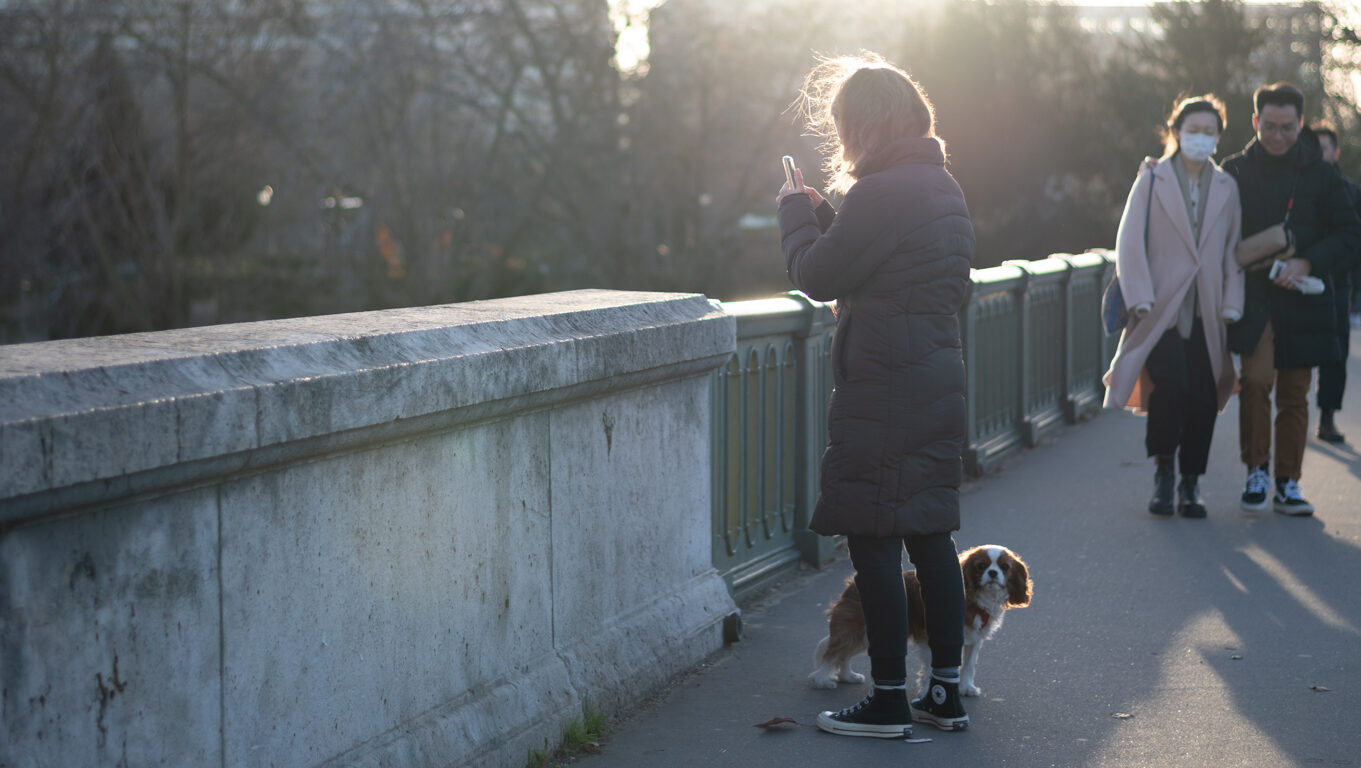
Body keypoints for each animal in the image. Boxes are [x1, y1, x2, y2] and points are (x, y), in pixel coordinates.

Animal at [805, 541, 1028, 697]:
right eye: (982, 566)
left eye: (1005, 567)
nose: (993, 573)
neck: (975, 597)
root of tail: (851, 585)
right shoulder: (929, 639)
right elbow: (930, 668)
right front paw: (927, 692)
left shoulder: (974, 640)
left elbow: (968, 665)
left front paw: (966, 688)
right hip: (854, 630)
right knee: (832, 653)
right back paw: (822, 680)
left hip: (864, 636)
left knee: (844, 655)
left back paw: (847, 676)